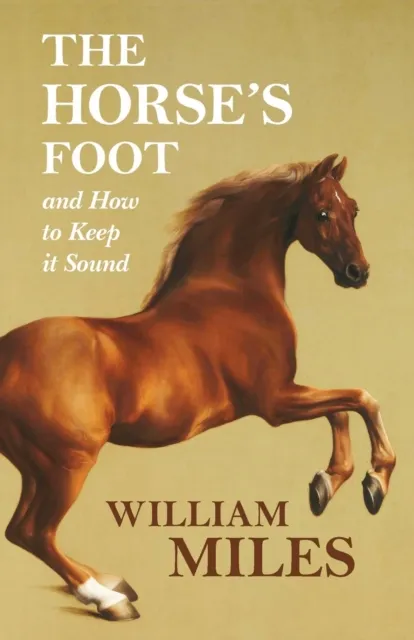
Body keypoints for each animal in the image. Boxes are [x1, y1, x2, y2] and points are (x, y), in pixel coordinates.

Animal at [0, 153, 396, 621]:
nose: (358, 273)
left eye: (353, 209)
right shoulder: (275, 403)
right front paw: (375, 482)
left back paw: (112, 583)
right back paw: (109, 599)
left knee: (20, 531)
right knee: (34, 532)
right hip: (67, 465)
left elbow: (340, 410)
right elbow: (360, 399)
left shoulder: (286, 395)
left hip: (35, 468)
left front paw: (325, 485)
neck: (235, 293)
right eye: (321, 213)